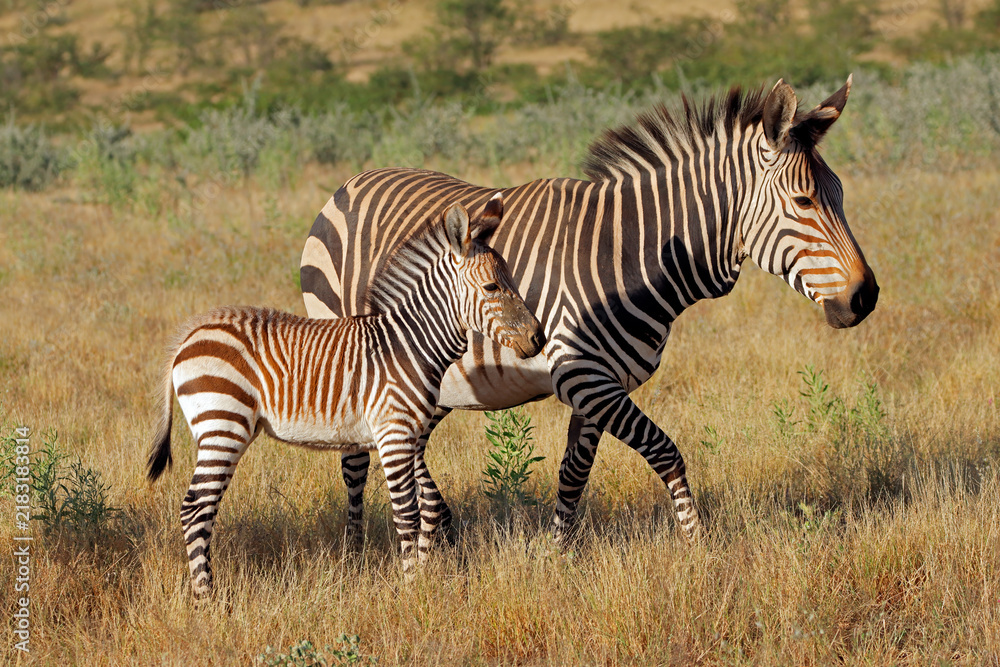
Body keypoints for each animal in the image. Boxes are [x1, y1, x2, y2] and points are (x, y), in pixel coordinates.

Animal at [147, 195, 544, 598]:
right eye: (492, 287)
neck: (408, 345)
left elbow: (424, 509)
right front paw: (410, 587)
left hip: (222, 430)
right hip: (223, 425)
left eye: (511, 281)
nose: (538, 339)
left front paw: (421, 577)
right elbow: (408, 513)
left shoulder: (411, 435)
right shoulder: (394, 434)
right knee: (195, 508)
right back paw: (206, 597)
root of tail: (190, 335)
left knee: (203, 508)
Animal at [300, 76, 879, 544]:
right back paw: (362, 549)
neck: (630, 253)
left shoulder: (600, 384)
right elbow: (665, 451)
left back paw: (439, 529)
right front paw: (699, 544)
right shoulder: (585, 377)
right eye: (804, 202)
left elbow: (573, 474)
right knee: (356, 455)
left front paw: (558, 553)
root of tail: (349, 183)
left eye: (841, 194)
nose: (866, 297)